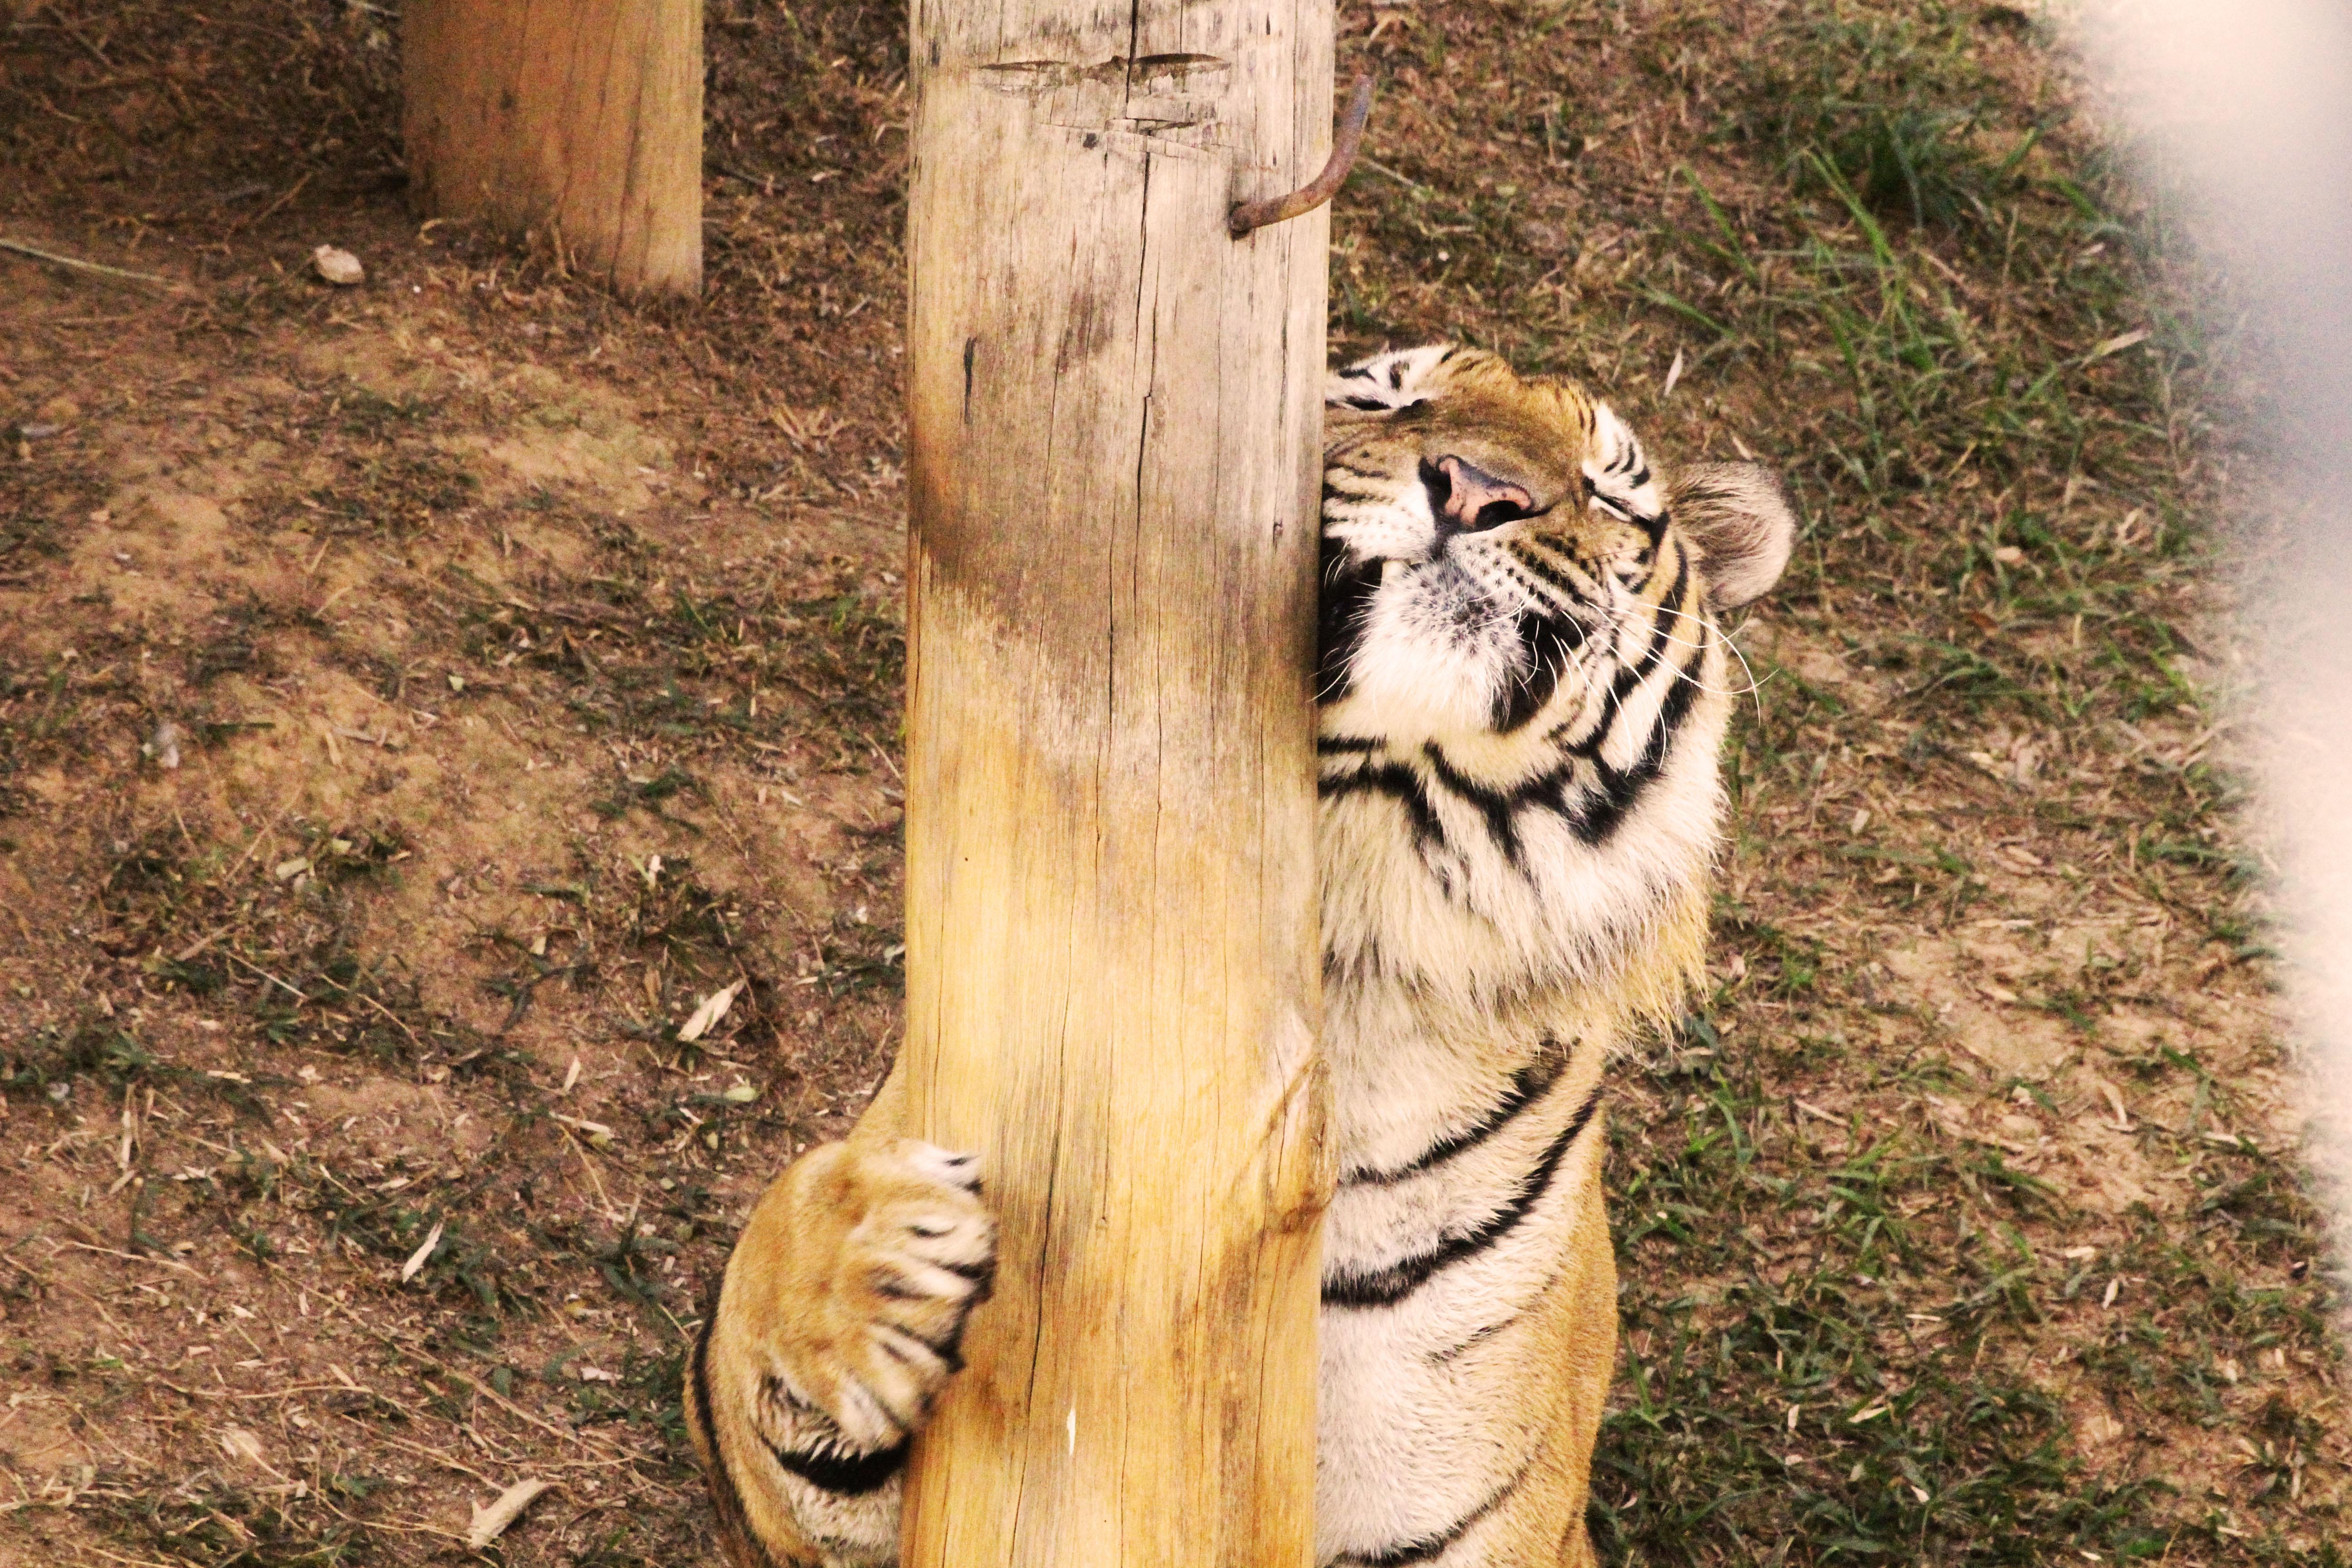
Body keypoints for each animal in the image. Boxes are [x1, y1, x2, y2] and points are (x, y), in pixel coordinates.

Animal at [686, 345, 1787, 1568]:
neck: (1361, 896)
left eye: (1606, 490)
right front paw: (880, 1258)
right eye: (1383, 396)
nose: (1475, 487)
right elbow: (756, 1286)